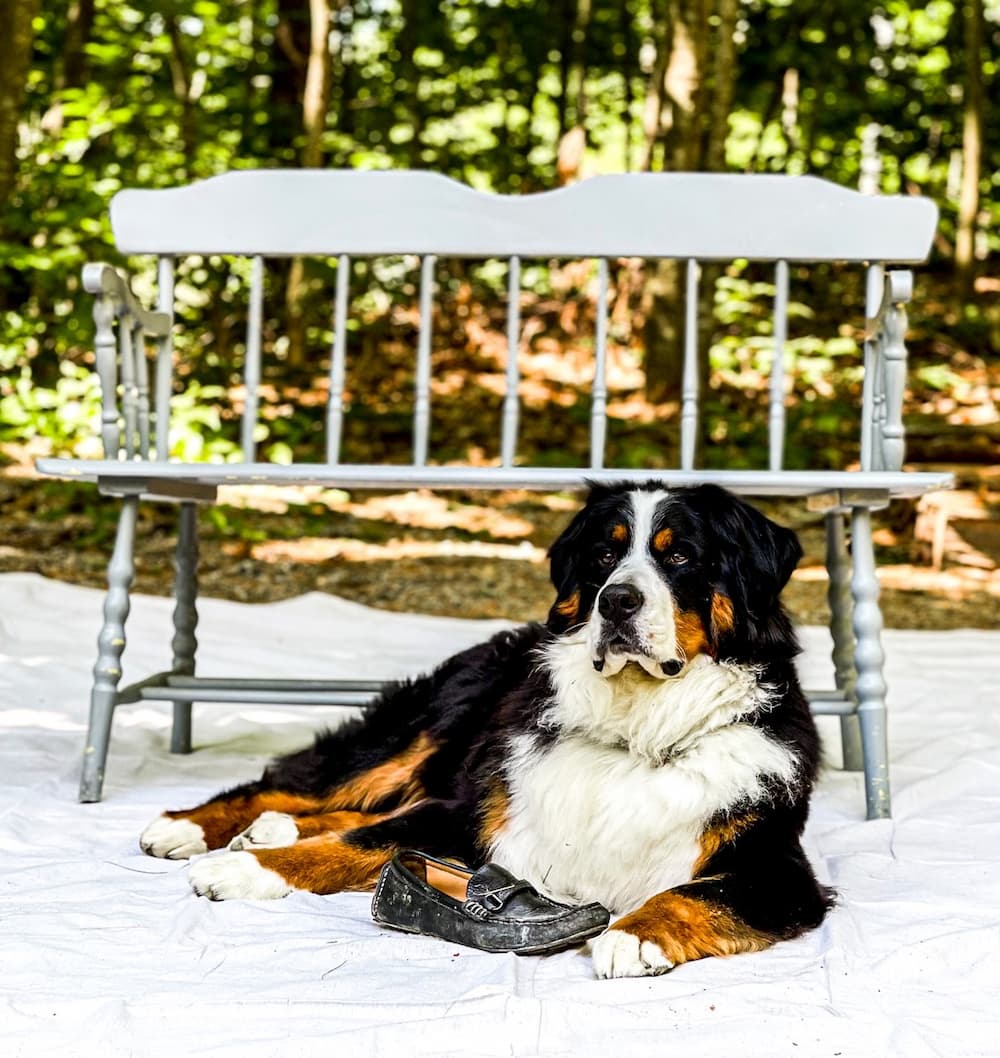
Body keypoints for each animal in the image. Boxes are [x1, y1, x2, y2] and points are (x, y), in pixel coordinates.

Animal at [138, 484, 825, 977]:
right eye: (605, 556)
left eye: (679, 555)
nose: (616, 601)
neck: (638, 727)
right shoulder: (477, 817)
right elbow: (360, 843)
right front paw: (241, 872)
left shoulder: (780, 873)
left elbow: (694, 894)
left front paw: (634, 934)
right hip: (414, 731)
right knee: (297, 783)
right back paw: (188, 828)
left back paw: (265, 831)